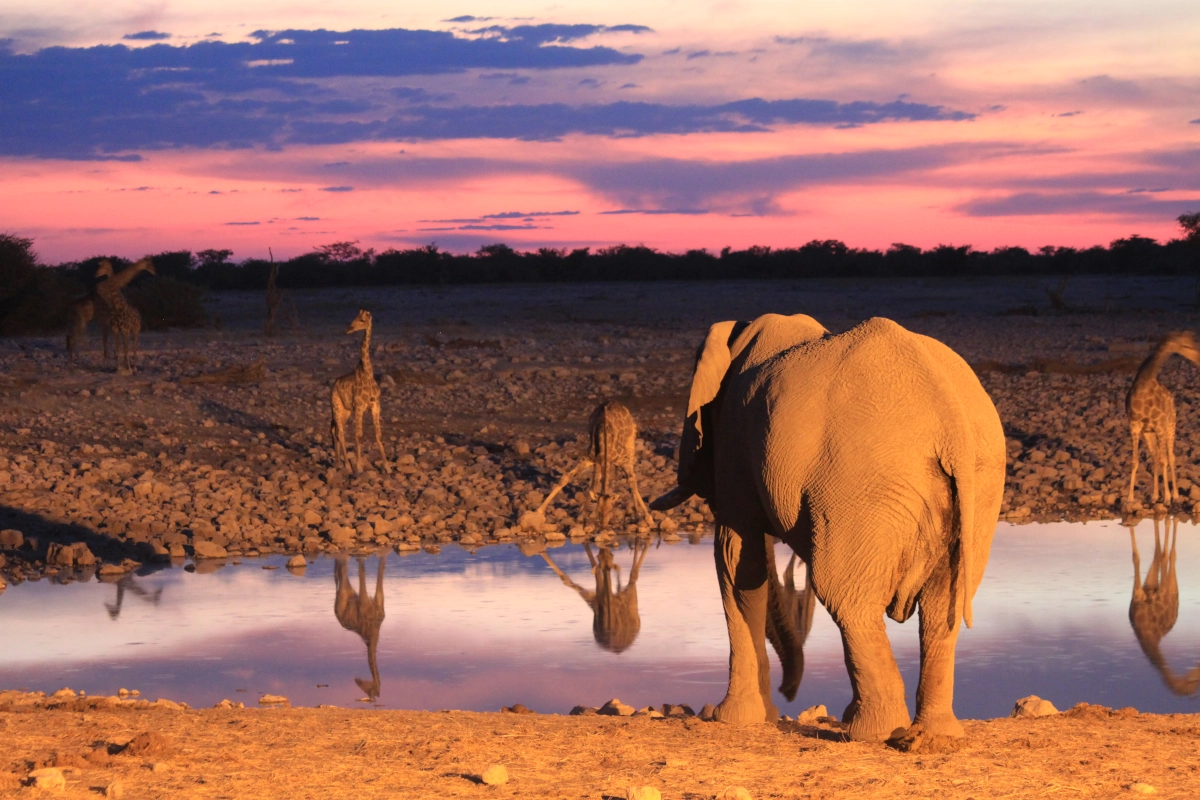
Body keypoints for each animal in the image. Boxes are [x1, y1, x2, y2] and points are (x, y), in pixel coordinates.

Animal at [328, 307, 388, 470]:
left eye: (362, 320)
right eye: (355, 317)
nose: (348, 329)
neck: (368, 373)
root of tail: (334, 385)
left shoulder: (375, 405)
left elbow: (378, 435)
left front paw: (387, 467)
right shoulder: (360, 407)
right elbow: (359, 435)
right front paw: (359, 467)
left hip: (346, 411)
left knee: (335, 430)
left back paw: (338, 463)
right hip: (337, 407)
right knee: (340, 432)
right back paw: (348, 466)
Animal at [652, 316, 1008, 743]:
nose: (788, 694)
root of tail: (949, 419)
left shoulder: (734, 439)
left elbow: (736, 559)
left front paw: (732, 720)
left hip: (862, 480)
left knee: (845, 596)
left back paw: (868, 732)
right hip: (981, 480)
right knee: (943, 608)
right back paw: (934, 735)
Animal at [1123, 331, 1200, 506]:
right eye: (1187, 345)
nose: (1199, 359)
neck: (1143, 386)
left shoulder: (1159, 426)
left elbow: (1166, 459)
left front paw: (1168, 498)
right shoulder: (1134, 426)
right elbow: (1135, 461)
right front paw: (1130, 498)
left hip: (1170, 426)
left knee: (1170, 457)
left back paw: (1175, 495)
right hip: (1149, 433)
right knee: (1156, 456)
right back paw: (1154, 496)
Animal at [1123, 520, 1200, 695]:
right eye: (1193, 682)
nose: (1196, 670)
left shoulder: (1160, 591)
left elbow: (1161, 554)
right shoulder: (1140, 594)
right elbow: (1139, 556)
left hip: (1169, 588)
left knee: (1169, 555)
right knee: (1164, 555)